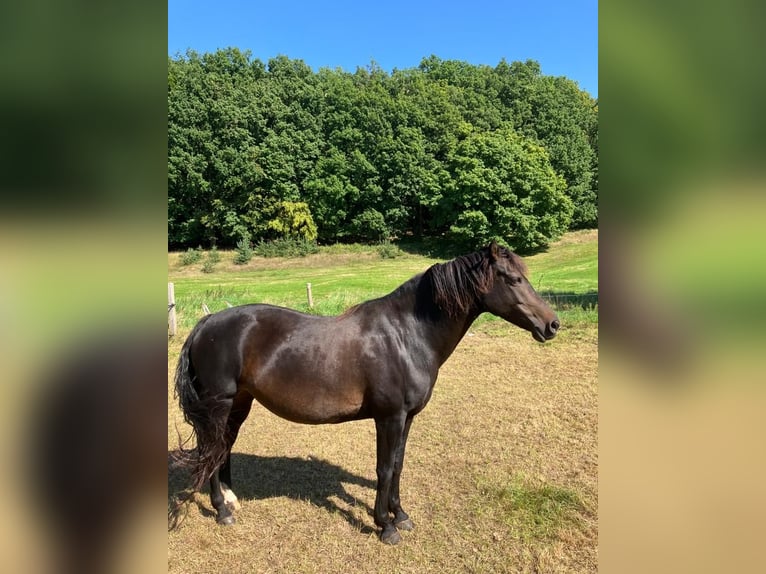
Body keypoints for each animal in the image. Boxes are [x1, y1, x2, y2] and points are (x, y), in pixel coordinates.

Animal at [173, 241, 559, 544]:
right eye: (513, 279)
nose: (552, 324)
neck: (406, 334)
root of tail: (206, 324)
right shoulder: (389, 417)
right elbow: (384, 468)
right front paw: (385, 526)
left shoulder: (407, 418)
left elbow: (399, 465)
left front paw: (401, 515)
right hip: (220, 405)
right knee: (211, 451)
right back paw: (222, 510)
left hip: (239, 404)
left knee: (223, 449)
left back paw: (231, 500)